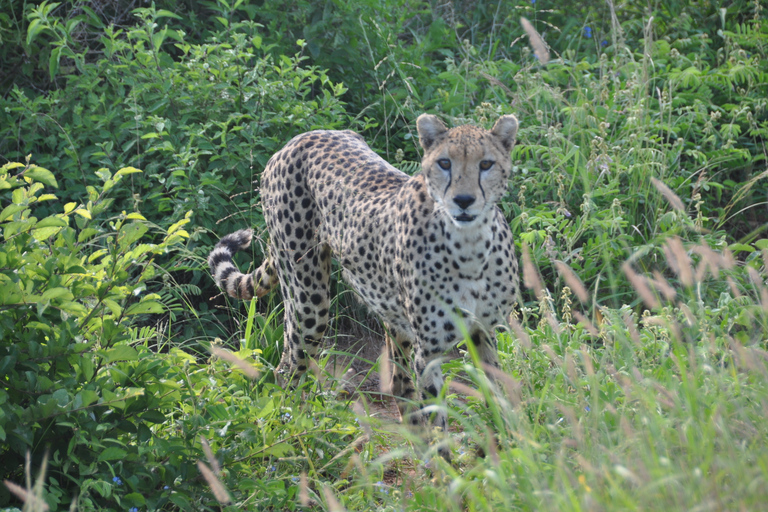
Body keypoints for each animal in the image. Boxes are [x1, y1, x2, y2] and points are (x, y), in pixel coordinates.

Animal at [210, 115, 520, 440]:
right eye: (444, 163)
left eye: (486, 164)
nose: (463, 200)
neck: (470, 247)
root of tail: (300, 138)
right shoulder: (429, 351)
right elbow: (440, 423)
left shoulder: (484, 332)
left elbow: (500, 399)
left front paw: (512, 443)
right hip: (308, 303)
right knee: (286, 371)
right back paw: (288, 432)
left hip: (391, 312)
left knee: (399, 382)